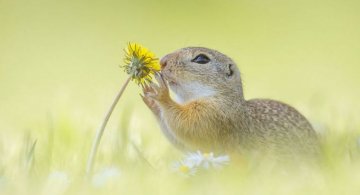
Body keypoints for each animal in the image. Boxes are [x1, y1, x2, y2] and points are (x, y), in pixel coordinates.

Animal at [142, 46, 320, 158]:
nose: (162, 61)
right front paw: (151, 100)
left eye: (201, 59)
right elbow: (183, 143)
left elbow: (187, 126)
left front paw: (162, 94)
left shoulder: (212, 116)